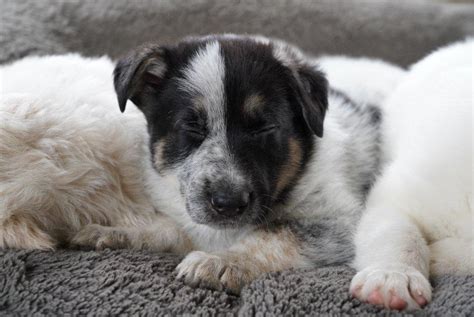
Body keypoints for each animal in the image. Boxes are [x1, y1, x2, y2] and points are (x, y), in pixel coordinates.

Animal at [0, 35, 396, 296]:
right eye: (191, 127)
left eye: (264, 128)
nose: (227, 204)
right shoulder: (188, 215)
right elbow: (168, 229)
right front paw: (112, 232)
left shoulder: (337, 222)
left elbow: (275, 235)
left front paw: (221, 263)